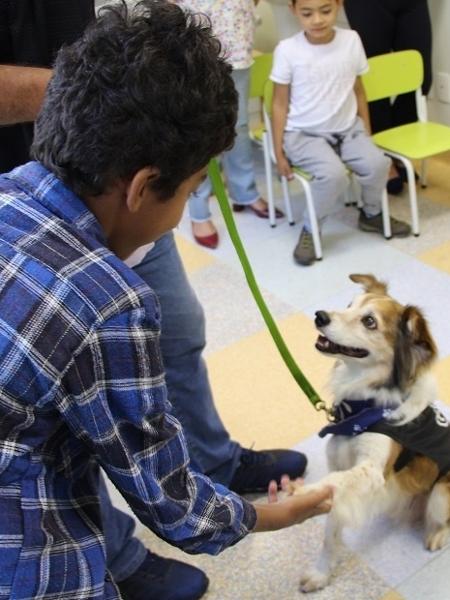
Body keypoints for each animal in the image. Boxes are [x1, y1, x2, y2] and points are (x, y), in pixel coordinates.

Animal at [290, 276, 450, 592]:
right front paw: (321, 574)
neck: (360, 407)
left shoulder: (372, 469)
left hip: (441, 494)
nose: (320, 316)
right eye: (349, 305)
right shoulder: (341, 466)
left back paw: (437, 535)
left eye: (369, 322)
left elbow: (333, 482)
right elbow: (331, 530)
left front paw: (302, 493)